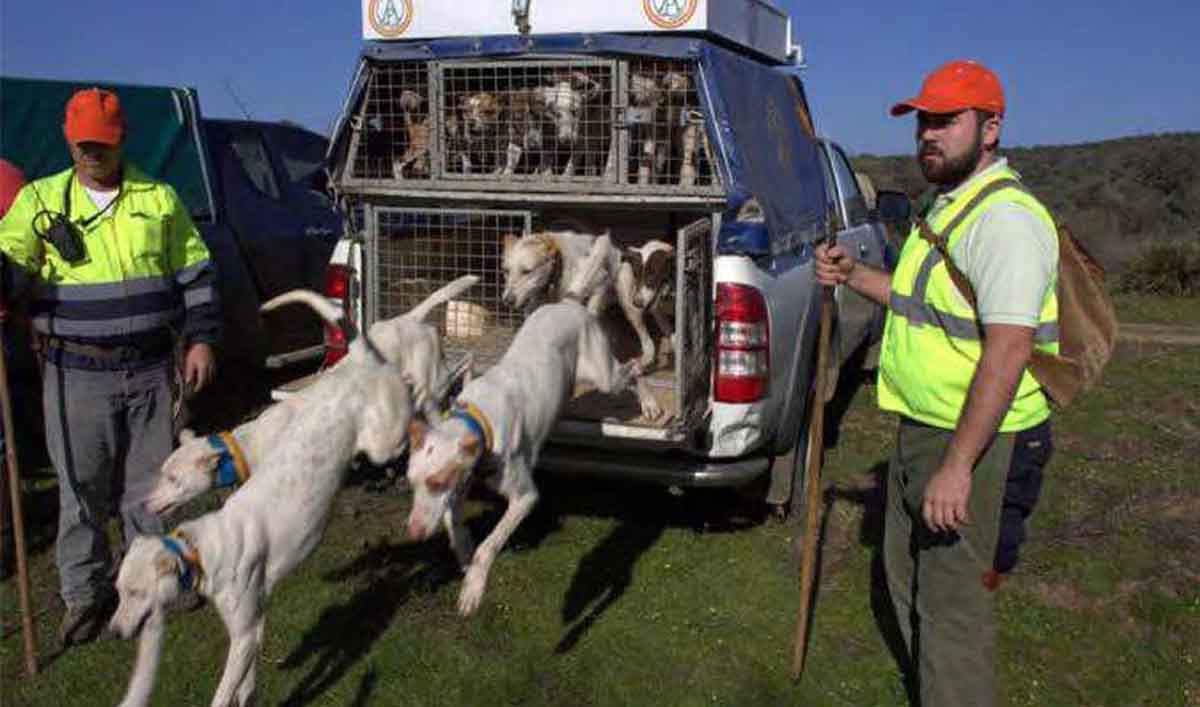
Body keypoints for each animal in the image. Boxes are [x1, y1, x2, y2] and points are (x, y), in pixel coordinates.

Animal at [110, 286, 415, 705]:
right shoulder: (253, 630)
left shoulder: (244, 635)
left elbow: (222, 695)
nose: (114, 633)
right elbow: (246, 688)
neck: (201, 547)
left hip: (385, 440)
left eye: (137, 593)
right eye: (118, 593)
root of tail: (357, 360)